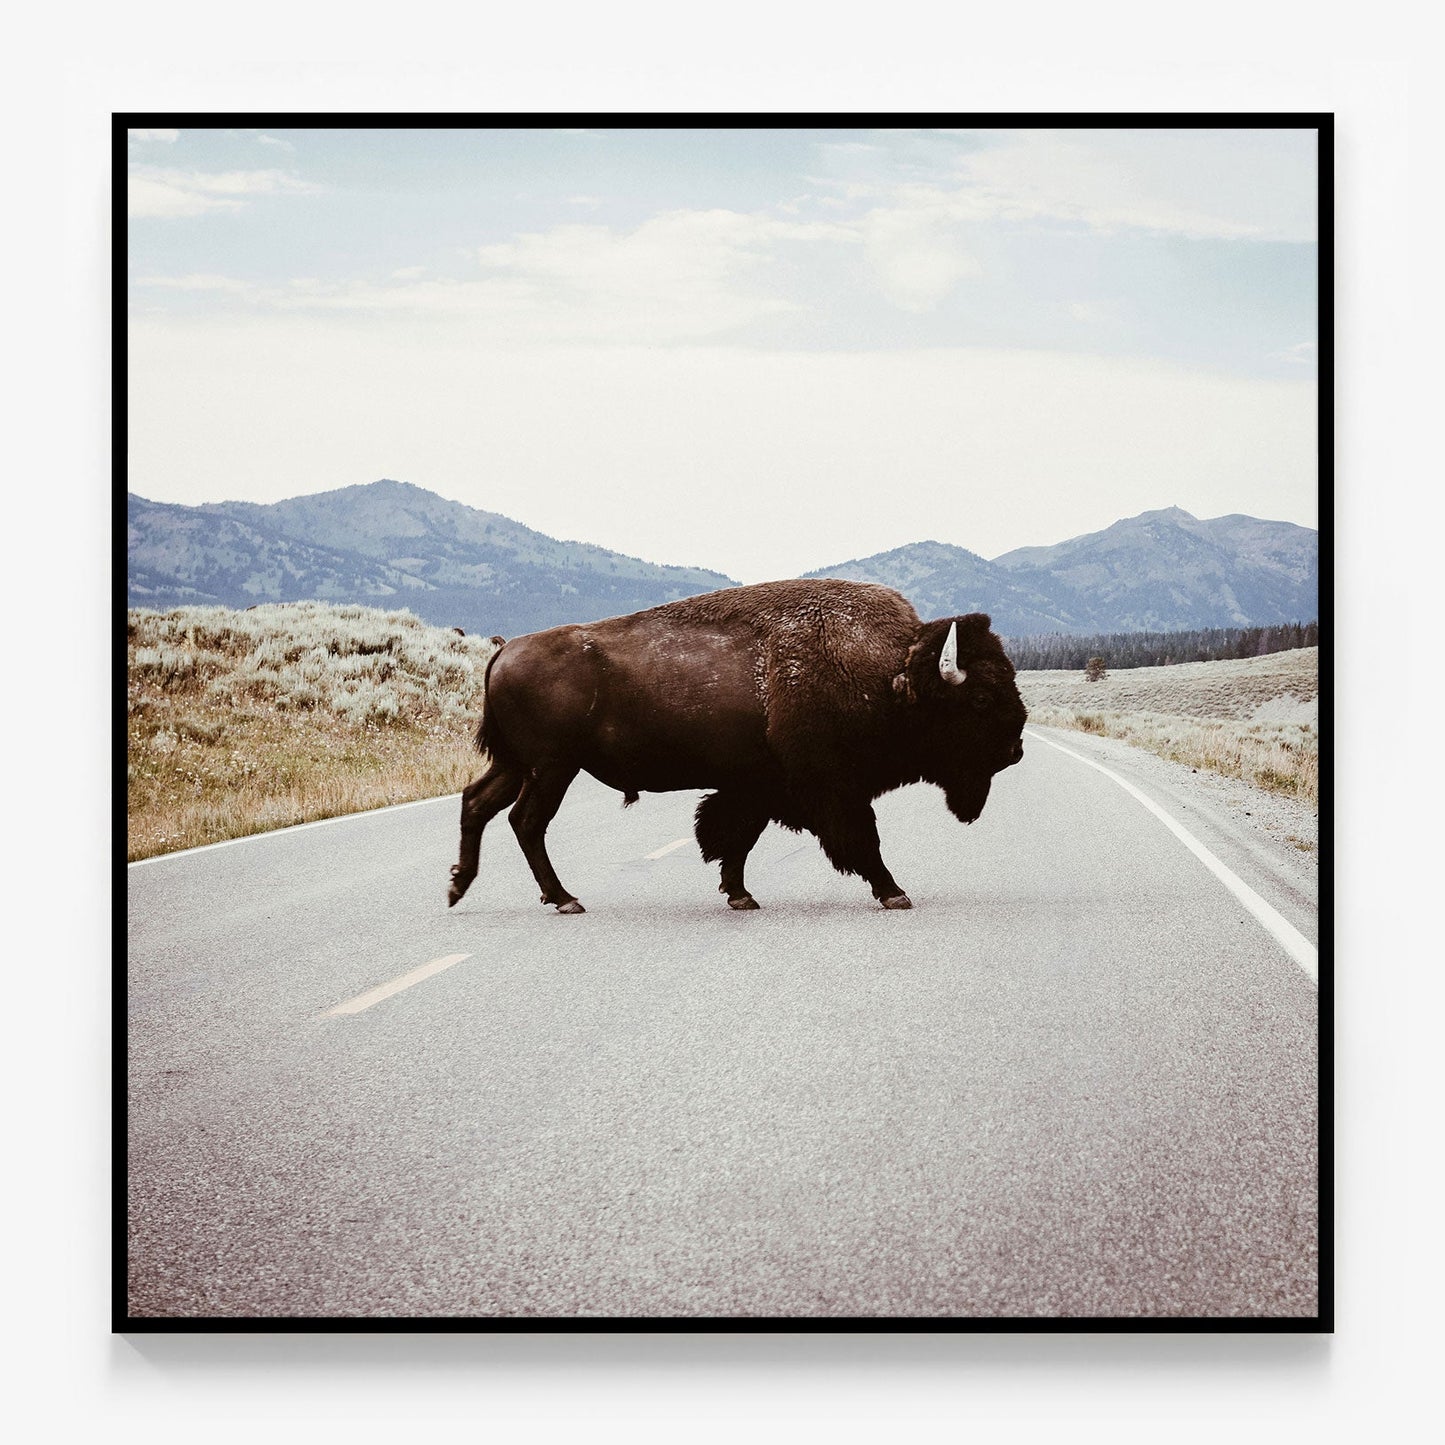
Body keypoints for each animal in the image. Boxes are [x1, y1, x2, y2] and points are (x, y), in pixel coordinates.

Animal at [448, 578, 1027, 914]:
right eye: (980, 697)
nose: (1016, 749)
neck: (891, 675)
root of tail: (504, 651)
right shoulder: (830, 788)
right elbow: (862, 840)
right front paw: (894, 893)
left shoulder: (759, 787)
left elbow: (735, 838)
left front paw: (741, 895)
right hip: (552, 767)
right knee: (526, 821)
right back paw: (564, 900)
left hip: (518, 764)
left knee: (478, 803)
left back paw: (461, 887)